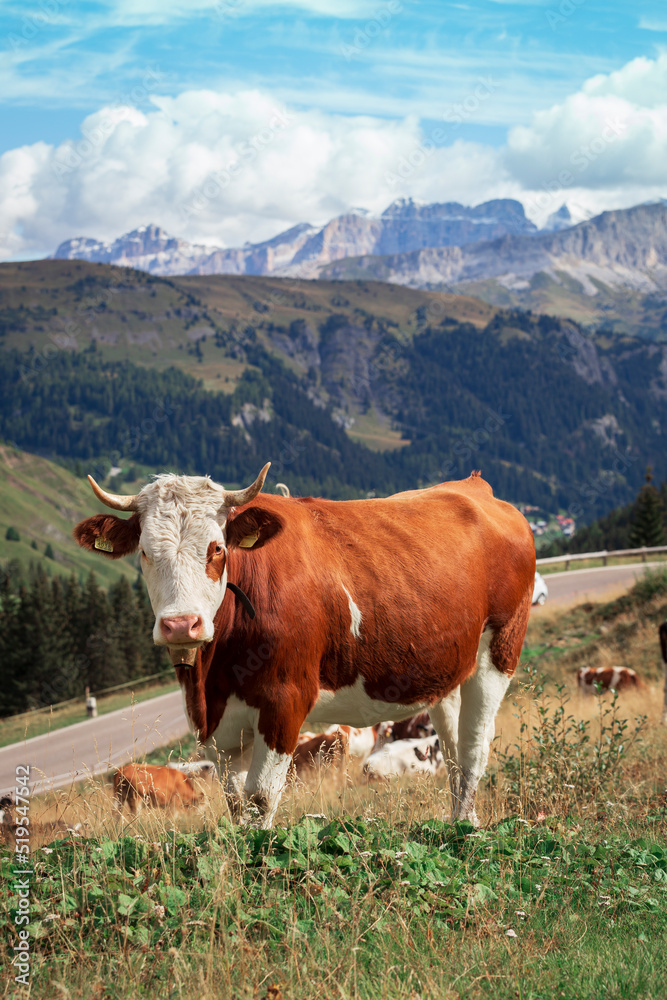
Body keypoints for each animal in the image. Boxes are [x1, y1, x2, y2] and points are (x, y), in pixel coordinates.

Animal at [75, 464, 536, 824]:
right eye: (145, 553)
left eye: (217, 549)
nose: (180, 625)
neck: (211, 679)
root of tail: (474, 487)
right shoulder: (220, 727)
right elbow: (236, 804)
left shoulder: (285, 702)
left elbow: (260, 799)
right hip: (448, 673)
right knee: (454, 751)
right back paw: (462, 822)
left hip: (498, 655)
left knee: (474, 749)